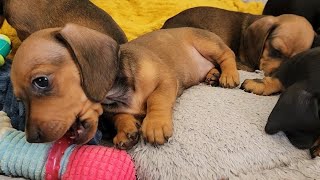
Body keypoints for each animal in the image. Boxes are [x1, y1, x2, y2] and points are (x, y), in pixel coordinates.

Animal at [10, 23, 240, 149]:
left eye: (41, 81)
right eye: (19, 99)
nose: (31, 139)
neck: (116, 94)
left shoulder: (166, 80)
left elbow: (156, 99)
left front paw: (155, 124)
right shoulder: (114, 110)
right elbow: (120, 116)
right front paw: (127, 130)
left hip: (207, 44)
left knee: (227, 55)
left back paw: (228, 75)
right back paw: (212, 75)